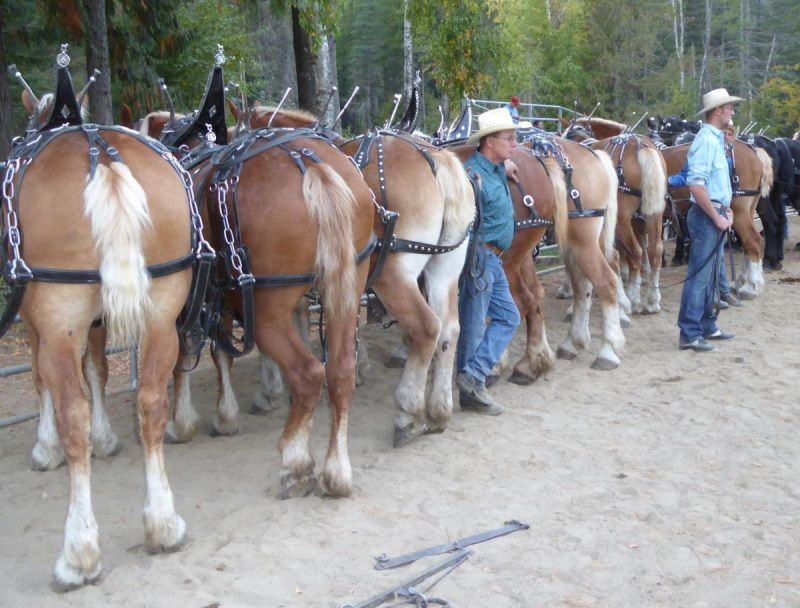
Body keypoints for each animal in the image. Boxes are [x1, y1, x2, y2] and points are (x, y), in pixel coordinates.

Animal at [6, 56, 201, 589]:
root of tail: (104, 156)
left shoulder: (40, 321)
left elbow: (42, 382)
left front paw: (46, 448)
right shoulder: (93, 321)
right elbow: (97, 367)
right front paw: (107, 437)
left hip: (59, 320)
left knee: (69, 408)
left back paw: (79, 554)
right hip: (162, 315)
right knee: (152, 400)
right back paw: (163, 524)